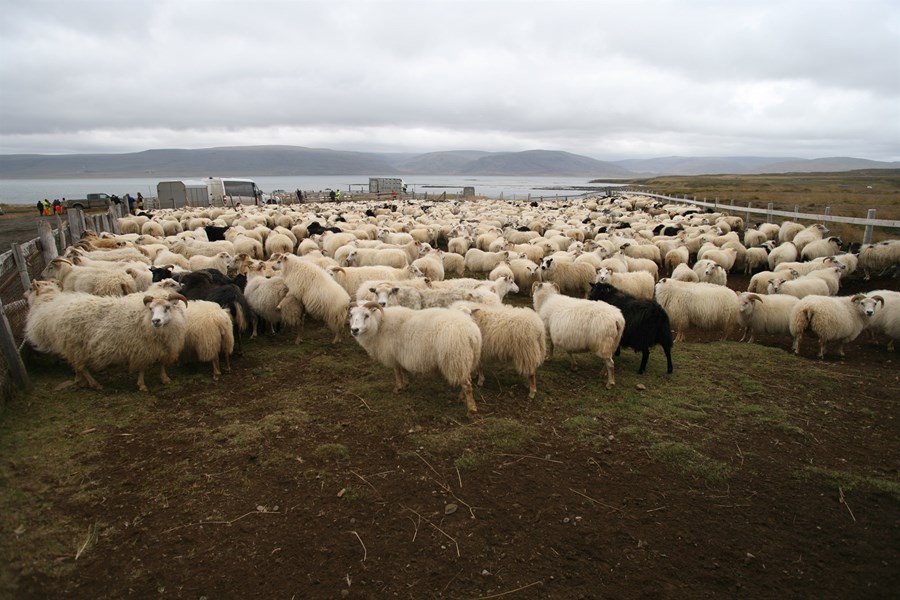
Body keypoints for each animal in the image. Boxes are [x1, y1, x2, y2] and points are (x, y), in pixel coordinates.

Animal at [348, 304, 486, 412]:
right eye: (351, 315)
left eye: (366, 315)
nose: (354, 330)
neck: (379, 325)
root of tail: (472, 334)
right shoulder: (400, 355)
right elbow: (403, 371)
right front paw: (406, 384)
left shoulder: (392, 356)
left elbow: (397, 373)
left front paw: (397, 388)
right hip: (467, 359)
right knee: (467, 380)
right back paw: (461, 398)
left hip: (456, 359)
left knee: (467, 384)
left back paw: (471, 408)